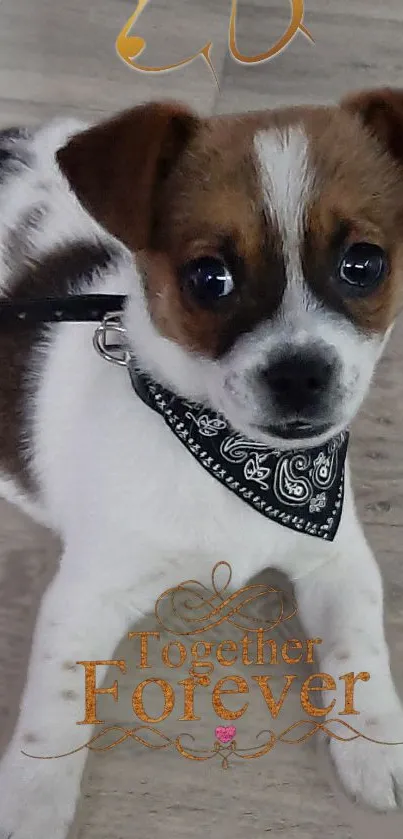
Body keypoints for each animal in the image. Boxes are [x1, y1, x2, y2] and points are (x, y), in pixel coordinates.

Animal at [0, 88, 403, 836]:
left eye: (364, 264)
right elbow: (57, 699)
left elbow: (358, 644)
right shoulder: (88, 592)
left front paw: (374, 739)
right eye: (208, 277)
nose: (299, 375)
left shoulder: (336, 557)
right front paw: (34, 797)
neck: (229, 459)